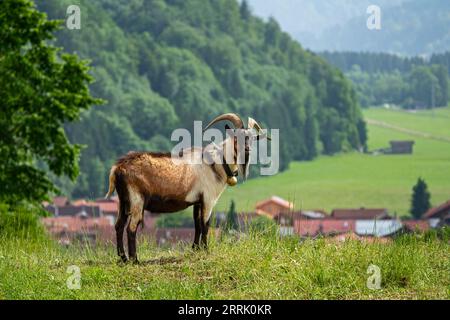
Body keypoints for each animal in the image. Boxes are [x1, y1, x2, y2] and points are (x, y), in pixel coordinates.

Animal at [105, 112, 270, 262]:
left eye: (251, 138)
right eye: (237, 137)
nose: (247, 149)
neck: (216, 163)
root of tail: (118, 168)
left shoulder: (197, 201)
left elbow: (197, 224)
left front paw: (195, 249)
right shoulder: (208, 199)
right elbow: (205, 224)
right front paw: (206, 250)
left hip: (123, 201)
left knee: (119, 226)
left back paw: (123, 258)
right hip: (136, 200)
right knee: (131, 228)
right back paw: (134, 260)